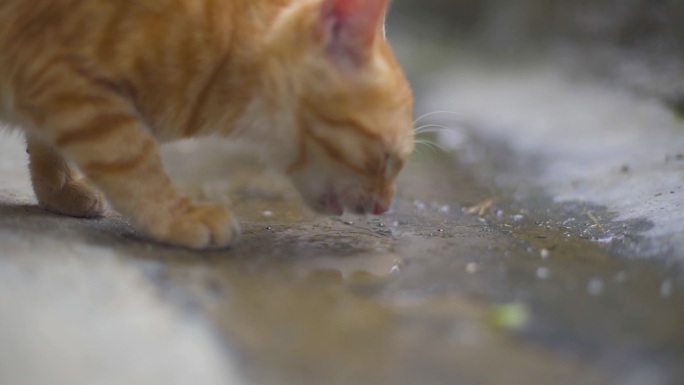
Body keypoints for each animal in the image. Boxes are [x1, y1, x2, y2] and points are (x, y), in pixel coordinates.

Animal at [0, 0, 412, 249]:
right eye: (386, 157)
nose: (384, 206)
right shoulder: (63, 78)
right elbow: (133, 159)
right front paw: (176, 216)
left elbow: (46, 142)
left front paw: (59, 189)